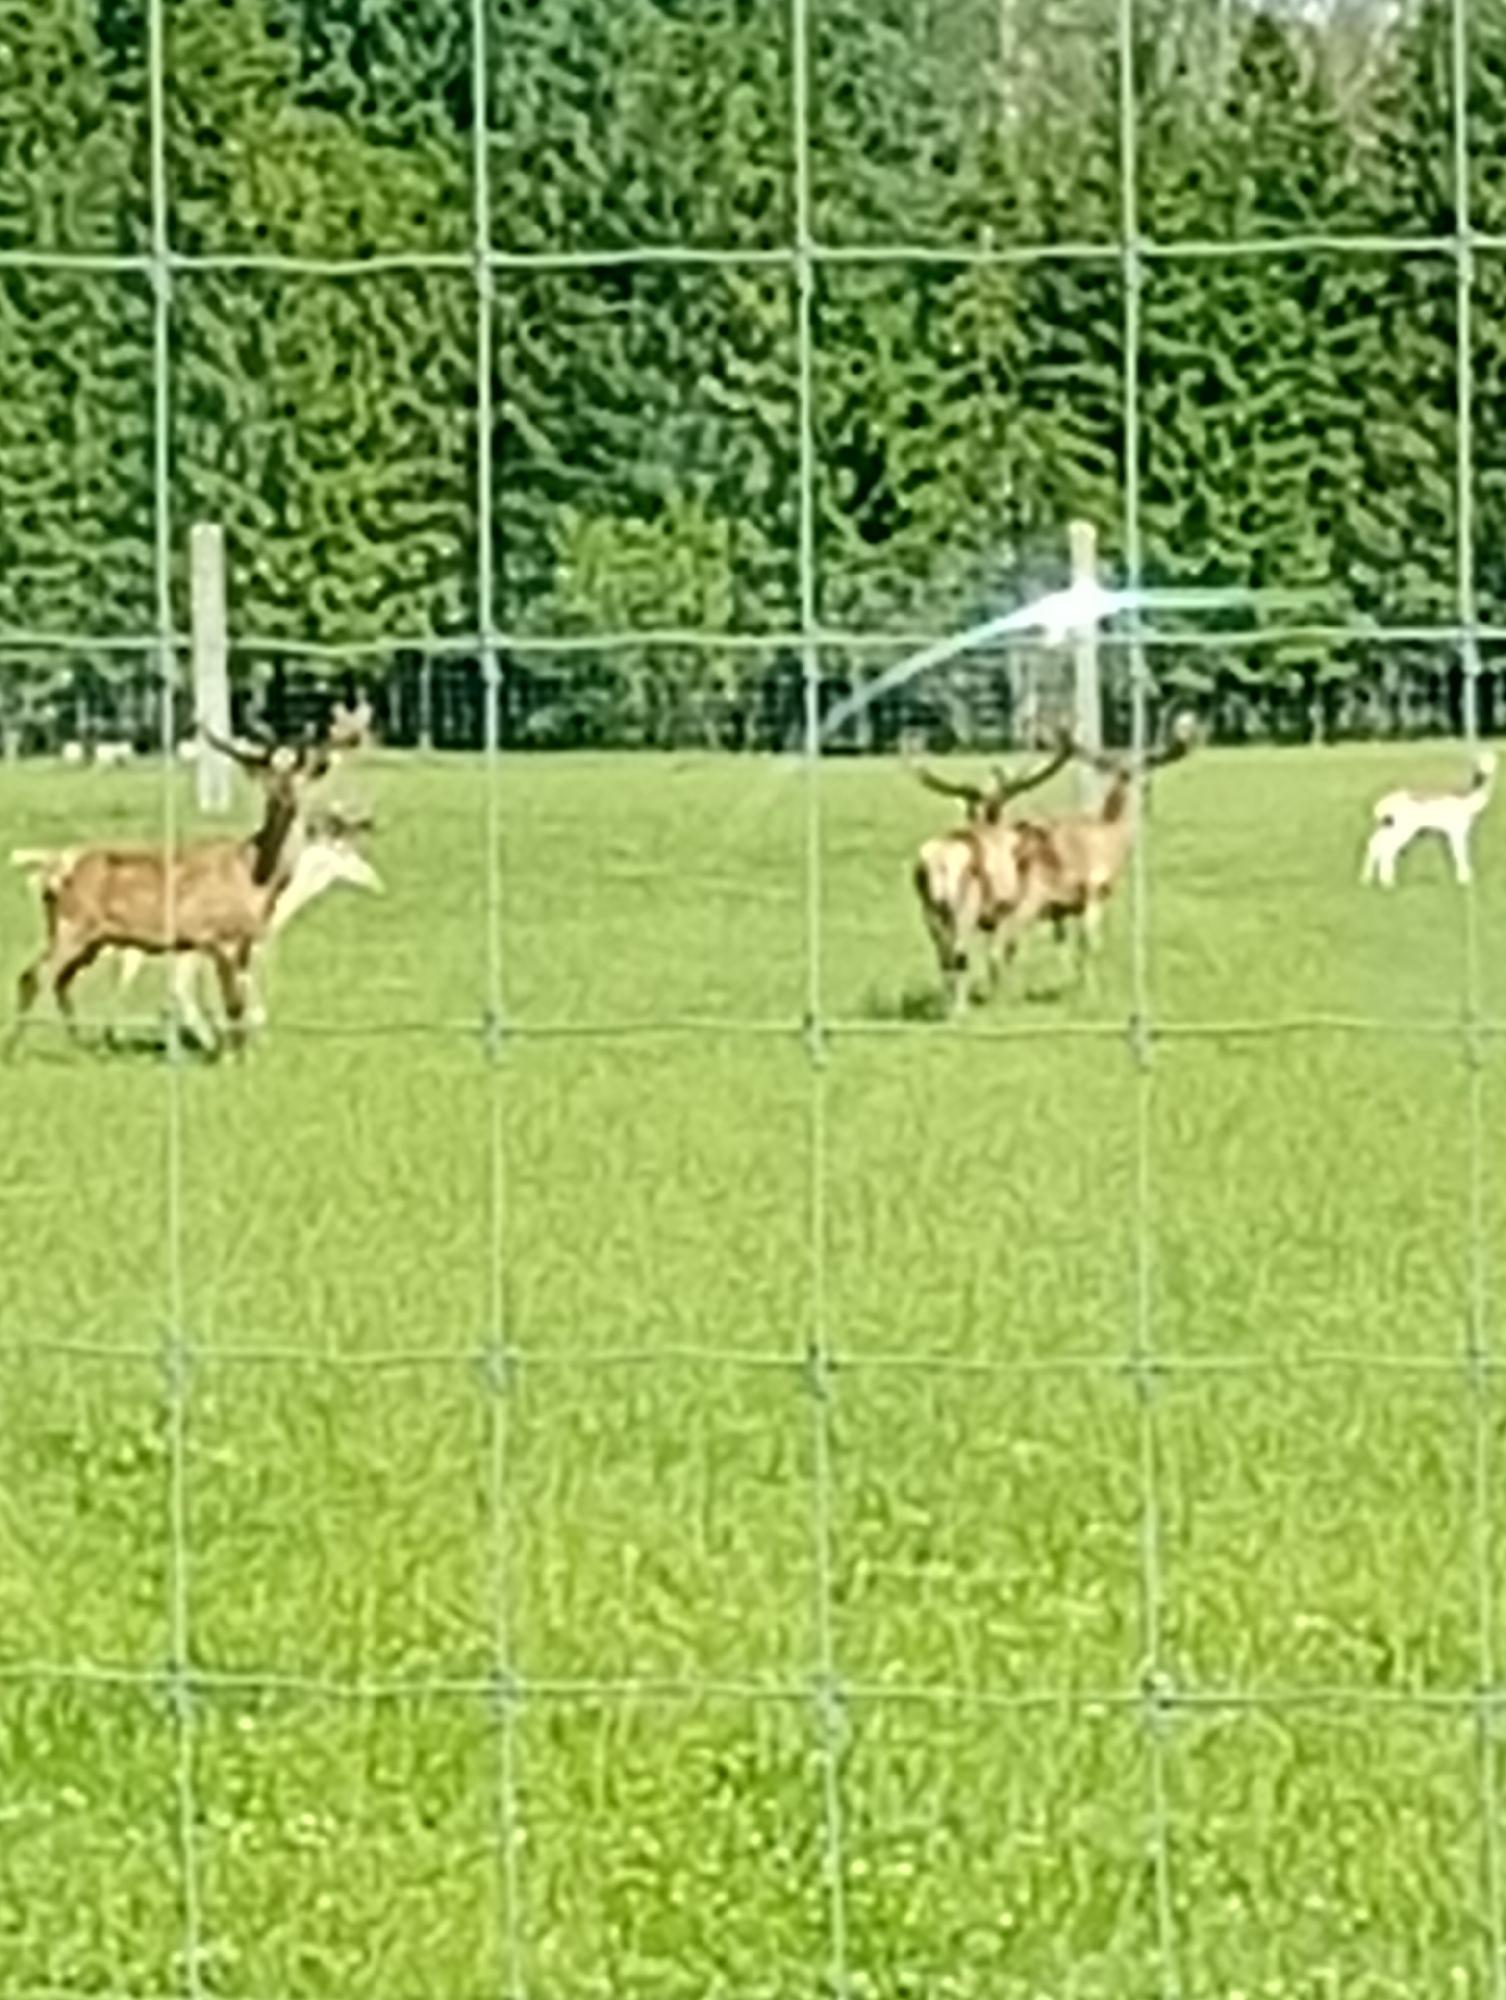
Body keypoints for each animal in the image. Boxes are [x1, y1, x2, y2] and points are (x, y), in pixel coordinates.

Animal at [9, 726, 333, 1056]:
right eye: (267, 782)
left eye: (301, 780)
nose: (284, 801)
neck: (256, 878)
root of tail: (51, 877)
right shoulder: (220, 937)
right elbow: (232, 1002)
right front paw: (232, 1056)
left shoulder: (243, 941)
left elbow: (239, 1001)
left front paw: (242, 1053)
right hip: (72, 925)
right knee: (33, 976)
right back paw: (13, 1049)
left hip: (90, 938)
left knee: (60, 981)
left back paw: (82, 1045)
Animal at [908, 725, 1075, 1016]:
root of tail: (938, 863)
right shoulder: (1013, 907)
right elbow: (1002, 953)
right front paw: (1001, 1000)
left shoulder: (991, 918)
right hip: (963, 906)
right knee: (960, 953)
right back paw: (960, 1011)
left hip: (928, 910)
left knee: (944, 957)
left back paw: (946, 1007)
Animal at [1360, 749, 1496, 888]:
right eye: (1483, 759)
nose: (1486, 768)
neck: (1468, 803)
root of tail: (1382, 805)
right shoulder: (1456, 832)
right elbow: (1460, 854)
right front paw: (1465, 881)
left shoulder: (1450, 833)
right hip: (1402, 830)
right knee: (1387, 850)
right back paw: (1388, 883)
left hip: (1388, 827)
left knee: (1375, 844)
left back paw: (1366, 879)